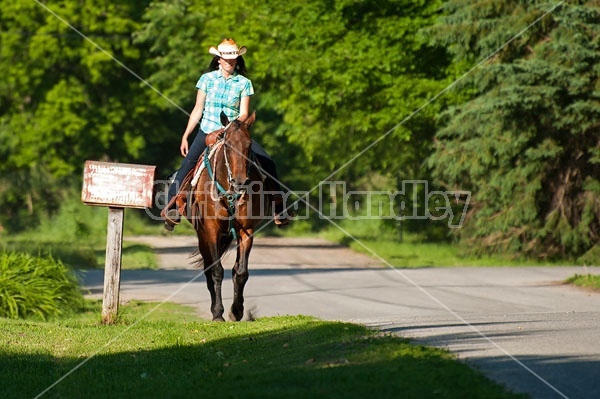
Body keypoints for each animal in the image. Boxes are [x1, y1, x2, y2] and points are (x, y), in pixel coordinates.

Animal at [178, 111, 270, 322]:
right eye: (227, 144)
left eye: (249, 145)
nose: (240, 182)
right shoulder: (211, 230)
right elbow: (217, 271)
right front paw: (218, 313)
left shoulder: (247, 230)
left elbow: (241, 272)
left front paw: (236, 311)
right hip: (203, 236)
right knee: (208, 269)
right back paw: (214, 309)